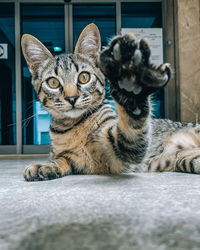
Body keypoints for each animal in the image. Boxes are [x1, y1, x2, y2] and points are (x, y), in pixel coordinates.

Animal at [21, 22, 200, 181]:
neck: (75, 127)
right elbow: (61, 158)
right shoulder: (70, 157)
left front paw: (130, 87)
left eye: (84, 77)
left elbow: (130, 130)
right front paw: (47, 166)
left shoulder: (125, 152)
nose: (71, 98)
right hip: (183, 160)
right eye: (53, 82)